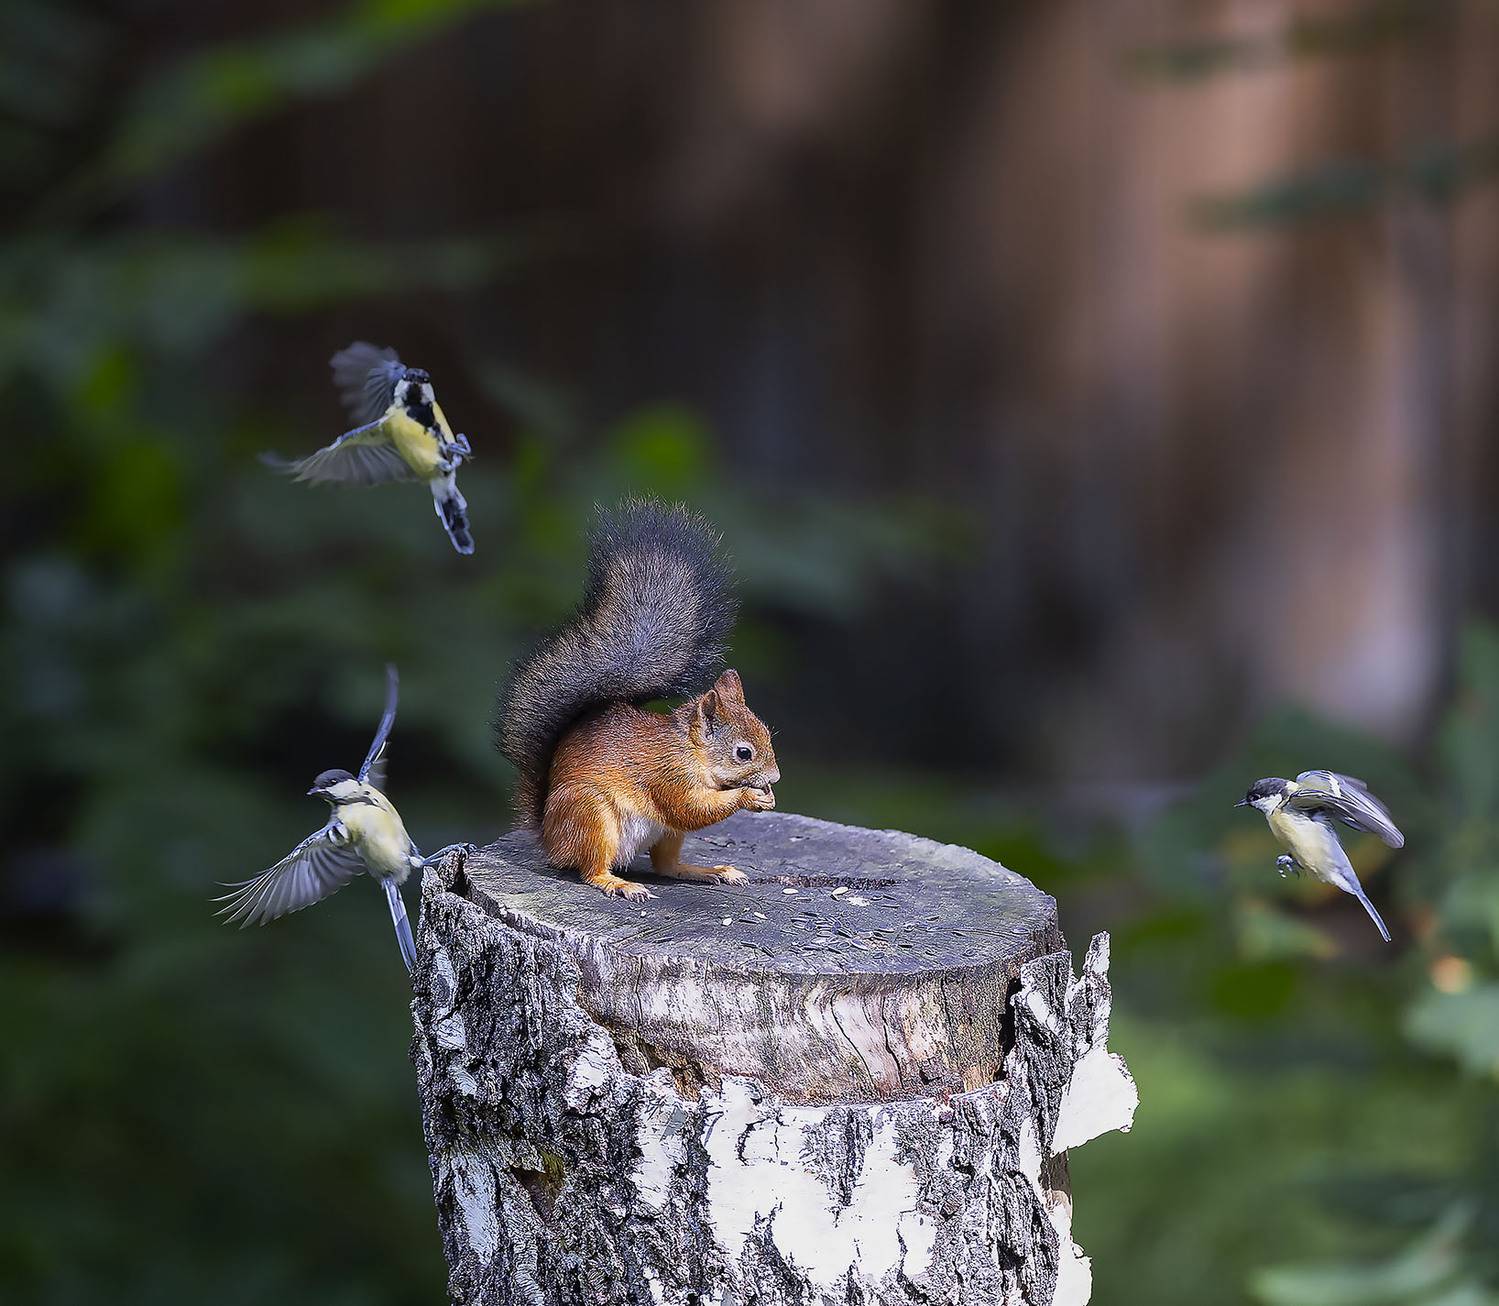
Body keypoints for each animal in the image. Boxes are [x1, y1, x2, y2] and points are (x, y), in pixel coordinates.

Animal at [496, 498, 780, 900]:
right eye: (744, 753)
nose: (775, 777)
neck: (691, 751)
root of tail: (550, 838)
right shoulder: (668, 774)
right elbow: (691, 808)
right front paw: (750, 797)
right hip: (592, 815)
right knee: (591, 868)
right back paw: (618, 882)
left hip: (665, 833)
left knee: (667, 866)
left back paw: (709, 870)